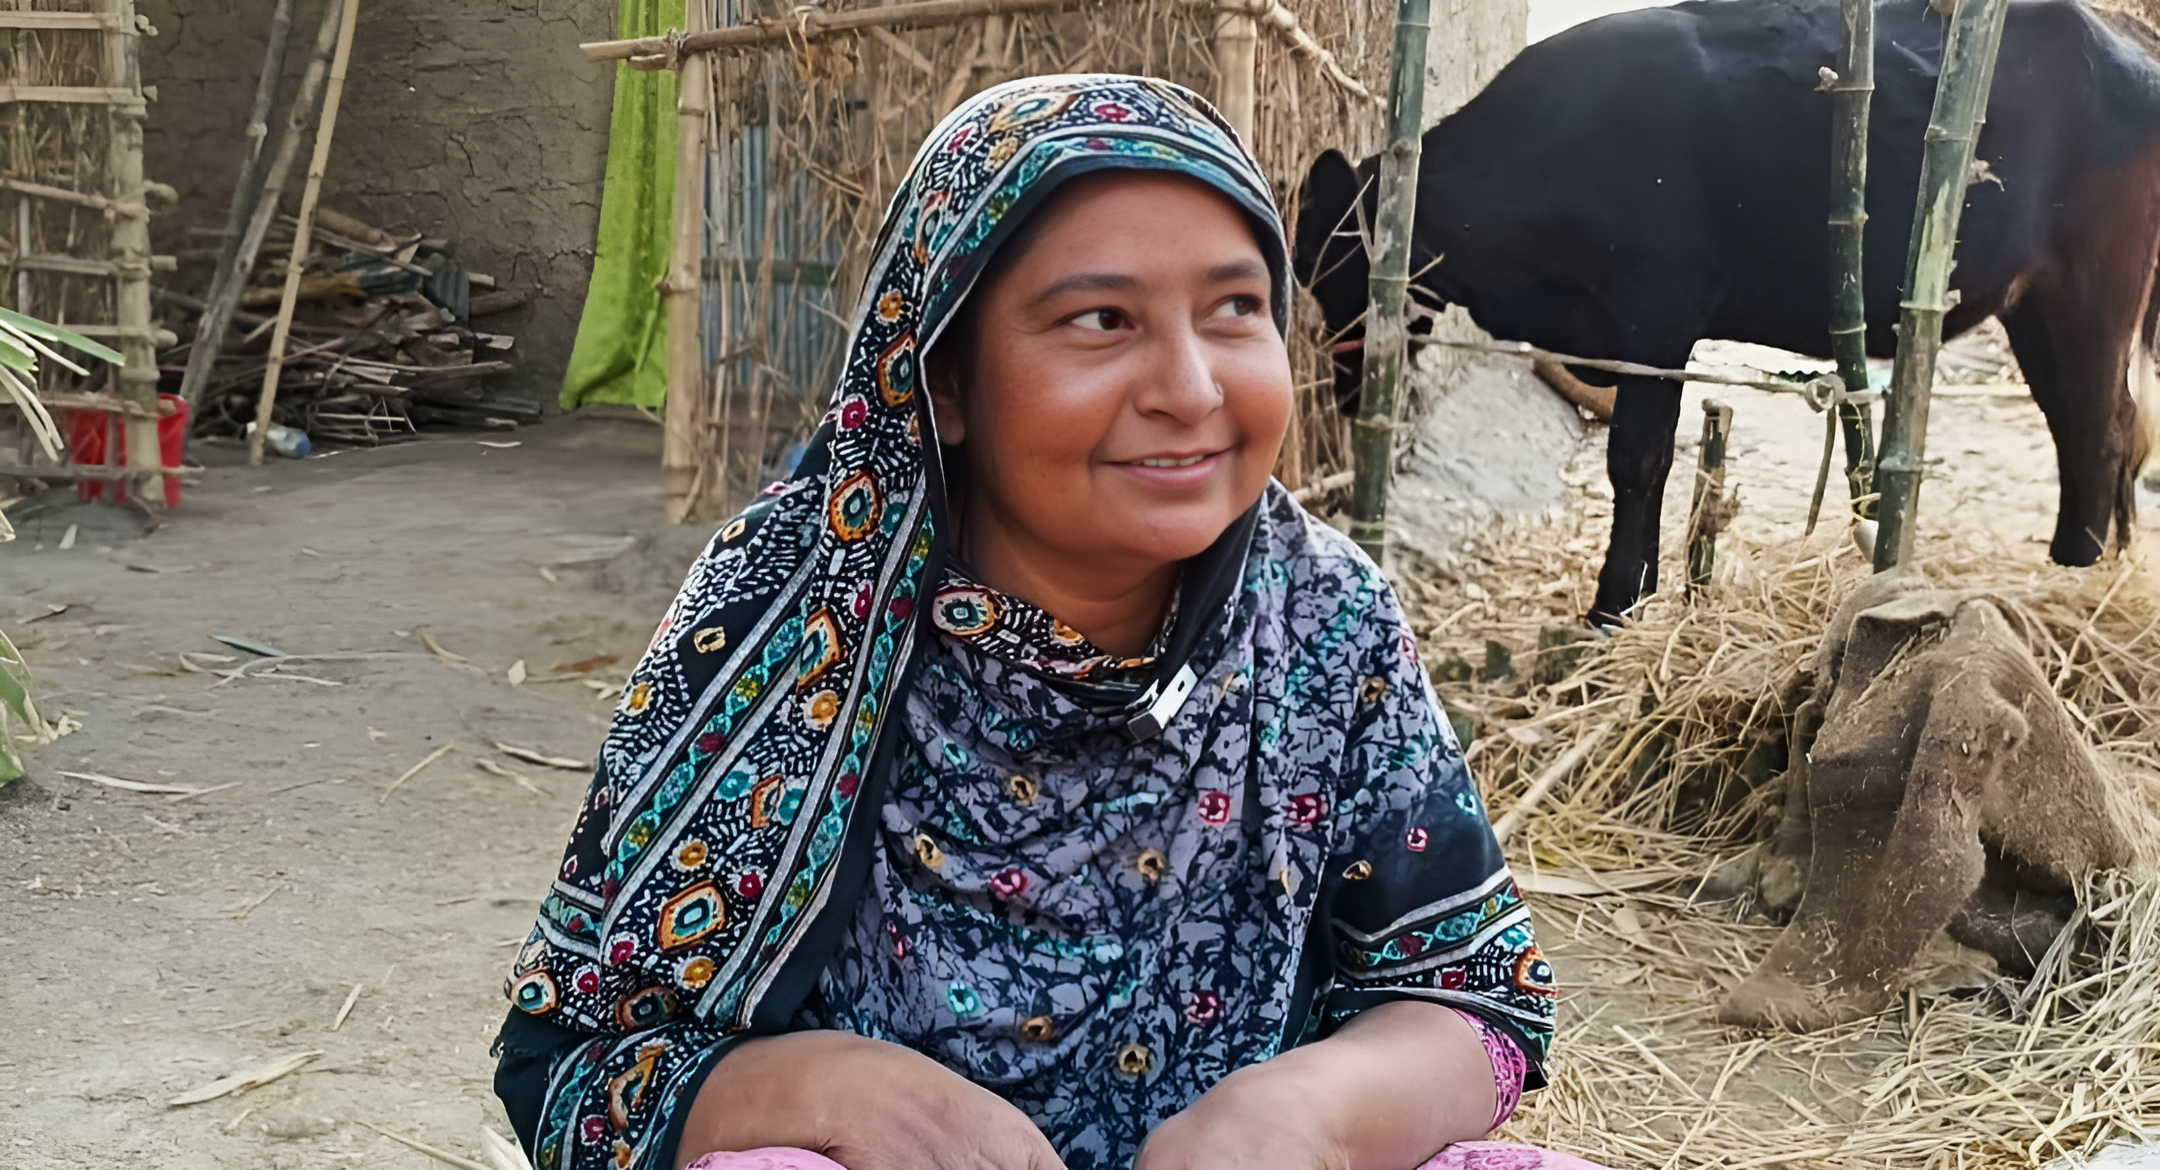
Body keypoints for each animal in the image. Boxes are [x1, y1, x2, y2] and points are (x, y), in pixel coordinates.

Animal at [1293, 0, 2160, 625]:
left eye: (1327, 268)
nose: (1343, 391)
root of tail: (2125, 36)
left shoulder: (1657, 316)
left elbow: (1637, 460)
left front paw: (1613, 607)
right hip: (2038, 309)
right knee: (2104, 428)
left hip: (2086, 293)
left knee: (2096, 430)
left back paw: (2074, 579)